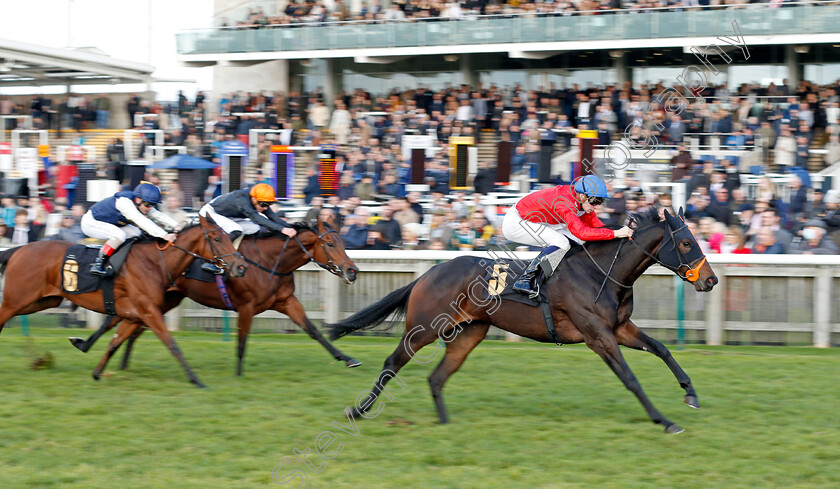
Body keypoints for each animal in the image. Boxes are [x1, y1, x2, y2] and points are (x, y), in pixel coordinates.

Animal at [0, 215, 248, 386]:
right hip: (17, 300)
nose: (241, 267)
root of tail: (19, 250)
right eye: (217, 238)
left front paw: (97, 372)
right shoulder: (149, 312)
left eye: (229, 237)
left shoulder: (134, 315)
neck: (155, 263)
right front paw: (196, 380)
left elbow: (115, 342)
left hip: (43, 301)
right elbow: (172, 344)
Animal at [73, 216, 360, 378]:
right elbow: (242, 342)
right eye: (331, 244)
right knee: (120, 322)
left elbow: (314, 330)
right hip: (157, 298)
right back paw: (88, 346)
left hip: (166, 299)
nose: (352, 271)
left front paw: (348, 359)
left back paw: (114, 359)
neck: (269, 262)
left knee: (132, 326)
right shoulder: (247, 306)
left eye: (343, 242)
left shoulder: (286, 301)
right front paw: (239, 375)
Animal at [324, 208, 720, 432]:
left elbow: (663, 349)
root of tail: (428, 273)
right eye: (686, 243)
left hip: (469, 333)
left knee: (436, 377)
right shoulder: (598, 336)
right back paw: (357, 411)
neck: (603, 272)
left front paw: (691, 394)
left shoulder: (620, 328)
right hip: (423, 329)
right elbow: (631, 379)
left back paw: (446, 424)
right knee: (392, 363)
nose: (710, 280)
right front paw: (664, 421)